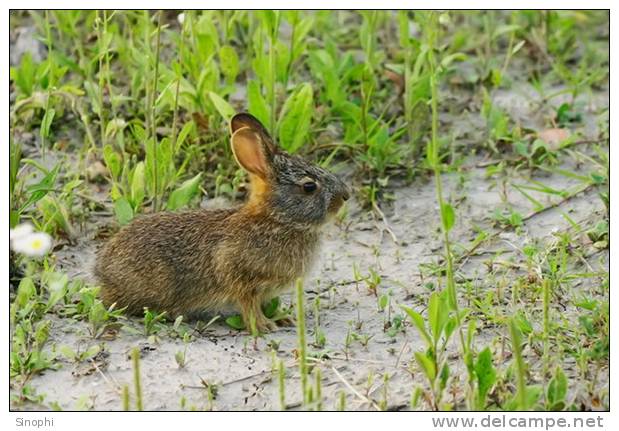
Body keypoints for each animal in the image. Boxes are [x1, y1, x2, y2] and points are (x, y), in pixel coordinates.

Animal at [95, 112, 352, 334]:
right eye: (309, 187)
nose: (345, 195)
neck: (278, 219)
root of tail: (101, 272)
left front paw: (281, 319)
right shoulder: (238, 274)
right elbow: (248, 305)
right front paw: (263, 326)